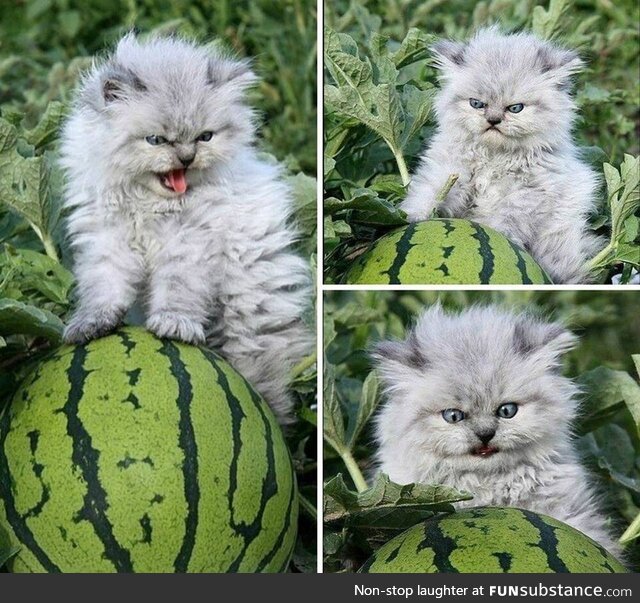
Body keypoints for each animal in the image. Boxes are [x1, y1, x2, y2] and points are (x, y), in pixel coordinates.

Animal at [58, 34, 314, 424]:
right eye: (156, 140)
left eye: (204, 137)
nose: (186, 157)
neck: (149, 205)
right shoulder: (108, 240)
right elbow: (104, 287)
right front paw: (92, 323)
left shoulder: (189, 245)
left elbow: (178, 290)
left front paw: (174, 324)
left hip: (249, 315)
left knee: (265, 378)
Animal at [402, 27, 604, 284]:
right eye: (477, 104)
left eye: (515, 108)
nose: (493, 120)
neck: (494, 157)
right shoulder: (450, 171)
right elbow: (429, 192)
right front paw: (413, 216)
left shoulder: (525, 196)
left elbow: (503, 222)